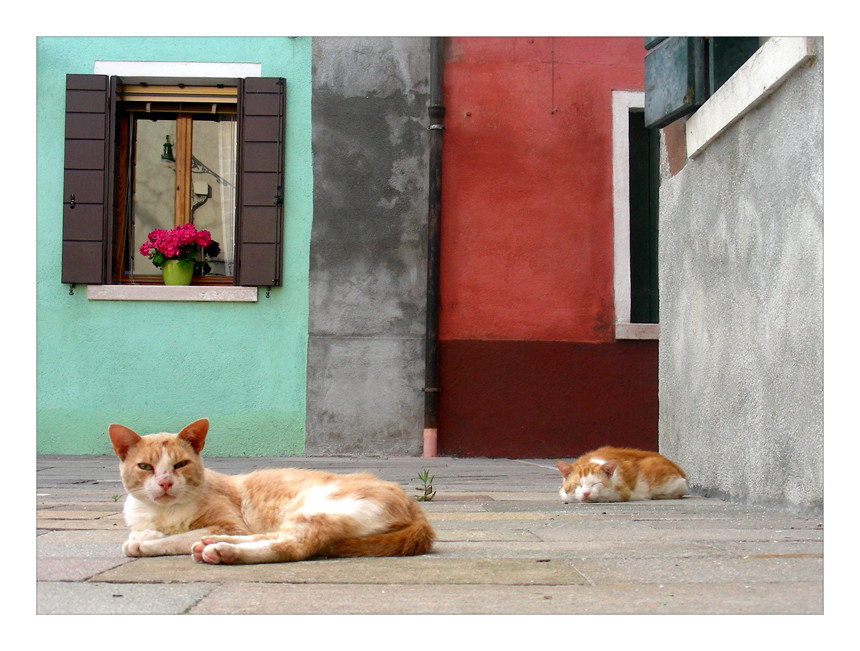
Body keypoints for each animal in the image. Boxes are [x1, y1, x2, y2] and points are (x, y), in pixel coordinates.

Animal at [108, 418, 436, 564]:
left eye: (180, 464)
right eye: (146, 467)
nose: (165, 482)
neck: (162, 512)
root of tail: (417, 511)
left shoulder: (229, 521)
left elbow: (177, 537)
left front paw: (145, 544)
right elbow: (163, 532)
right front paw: (146, 535)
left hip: (319, 509)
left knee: (291, 546)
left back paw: (223, 550)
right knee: (271, 535)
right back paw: (212, 543)